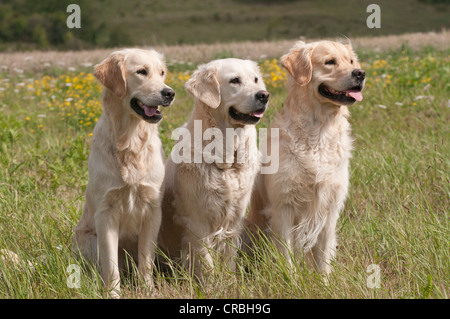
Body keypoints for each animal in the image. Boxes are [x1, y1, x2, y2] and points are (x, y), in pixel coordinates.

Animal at [73, 48, 175, 298]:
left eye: (162, 73)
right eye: (141, 72)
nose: (169, 93)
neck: (131, 141)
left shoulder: (152, 209)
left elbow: (146, 259)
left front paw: (147, 289)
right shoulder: (106, 213)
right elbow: (110, 264)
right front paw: (112, 293)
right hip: (87, 241)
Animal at [158, 58, 268, 278]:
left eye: (255, 79)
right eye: (235, 80)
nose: (264, 95)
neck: (228, 162)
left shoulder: (234, 220)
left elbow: (228, 260)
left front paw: (229, 281)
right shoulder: (198, 223)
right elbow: (207, 265)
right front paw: (214, 284)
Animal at [246, 39, 366, 276]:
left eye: (350, 61)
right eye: (330, 62)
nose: (360, 73)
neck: (318, 131)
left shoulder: (329, 207)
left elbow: (323, 258)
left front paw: (324, 281)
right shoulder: (283, 206)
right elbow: (286, 255)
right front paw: (291, 280)